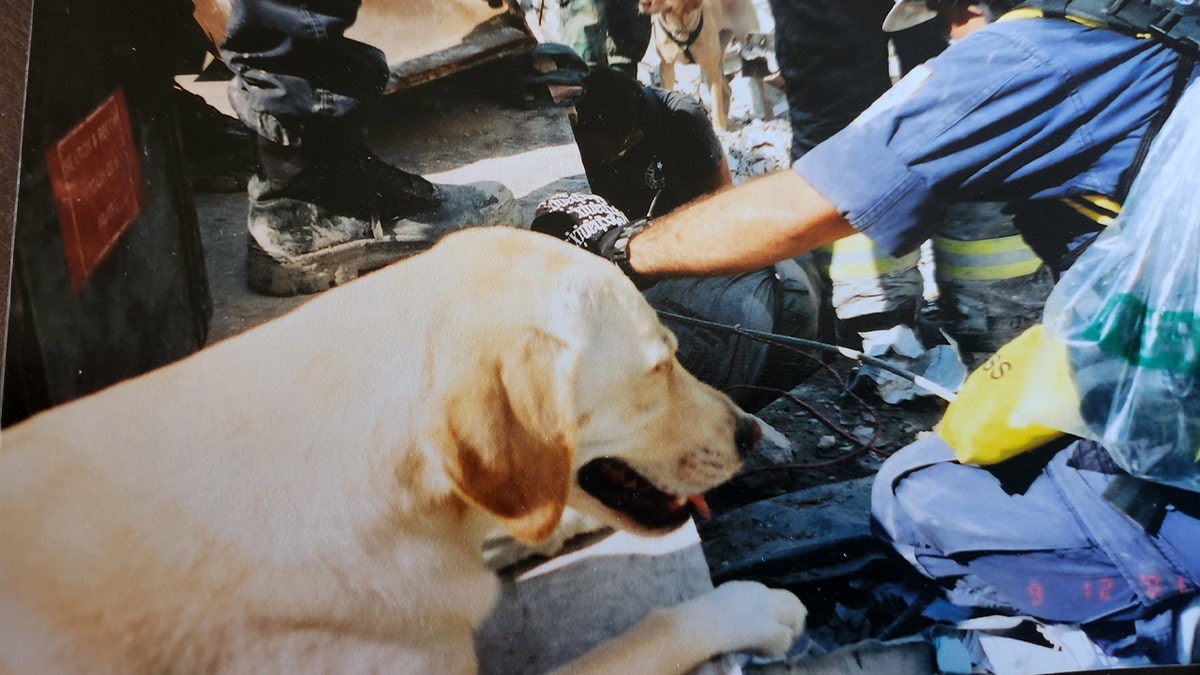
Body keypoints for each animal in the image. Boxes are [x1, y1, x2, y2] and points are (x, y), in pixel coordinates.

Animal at [643, 0, 763, 131]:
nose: (643, 4)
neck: (680, 24)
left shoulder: (711, 68)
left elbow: (716, 100)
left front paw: (719, 126)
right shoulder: (667, 65)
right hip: (717, 62)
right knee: (727, 89)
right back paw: (726, 117)